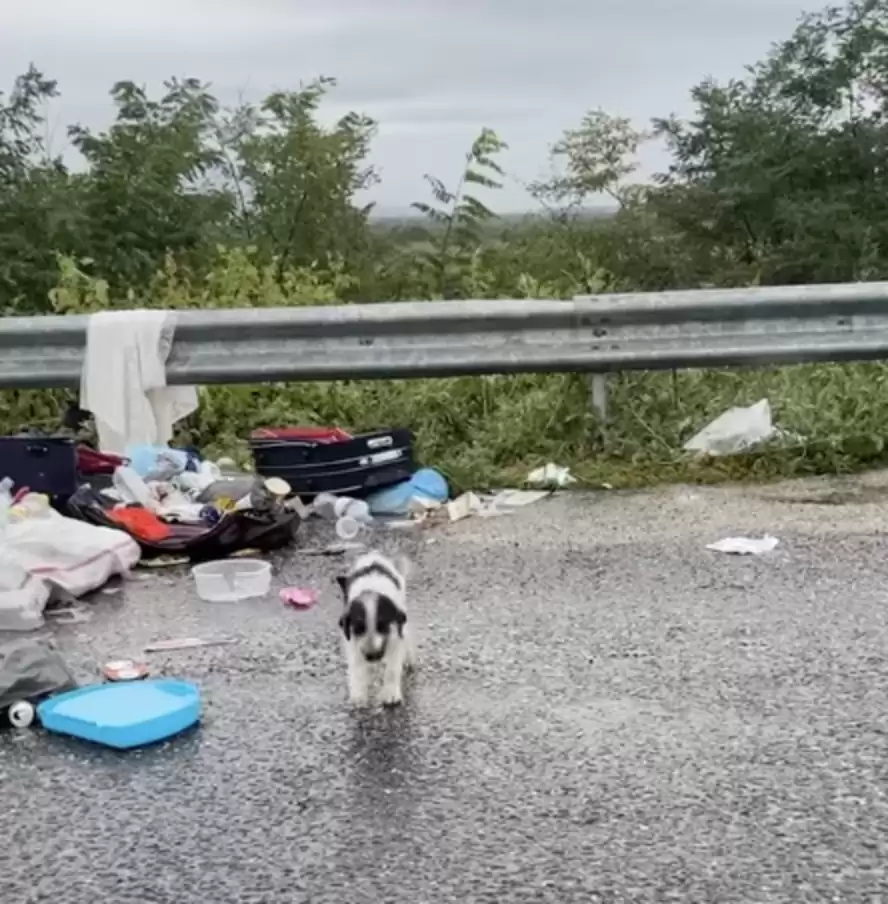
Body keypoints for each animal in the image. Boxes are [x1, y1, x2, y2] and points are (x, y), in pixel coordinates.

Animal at [336, 552, 416, 708]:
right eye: (359, 628)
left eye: (382, 626)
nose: (372, 657)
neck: (370, 589)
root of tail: (373, 555)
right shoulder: (353, 642)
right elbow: (356, 669)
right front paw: (358, 695)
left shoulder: (395, 635)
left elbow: (392, 669)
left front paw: (391, 694)